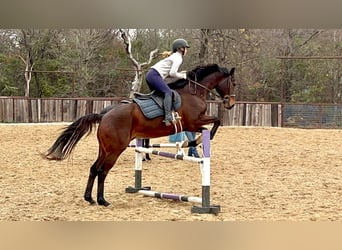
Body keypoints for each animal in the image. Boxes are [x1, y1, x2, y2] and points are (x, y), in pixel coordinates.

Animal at [43, 63, 235, 206]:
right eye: (233, 82)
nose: (231, 103)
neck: (193, 92)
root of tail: (103, 115)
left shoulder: (193, 124)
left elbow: (210, 125)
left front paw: (194, 143)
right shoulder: (193, 122)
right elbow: (216, 122)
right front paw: (199, 141)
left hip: (104, 149)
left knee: (94, 168)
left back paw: (89, 198)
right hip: (115, 150)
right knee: (102, 171)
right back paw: (102, 200)